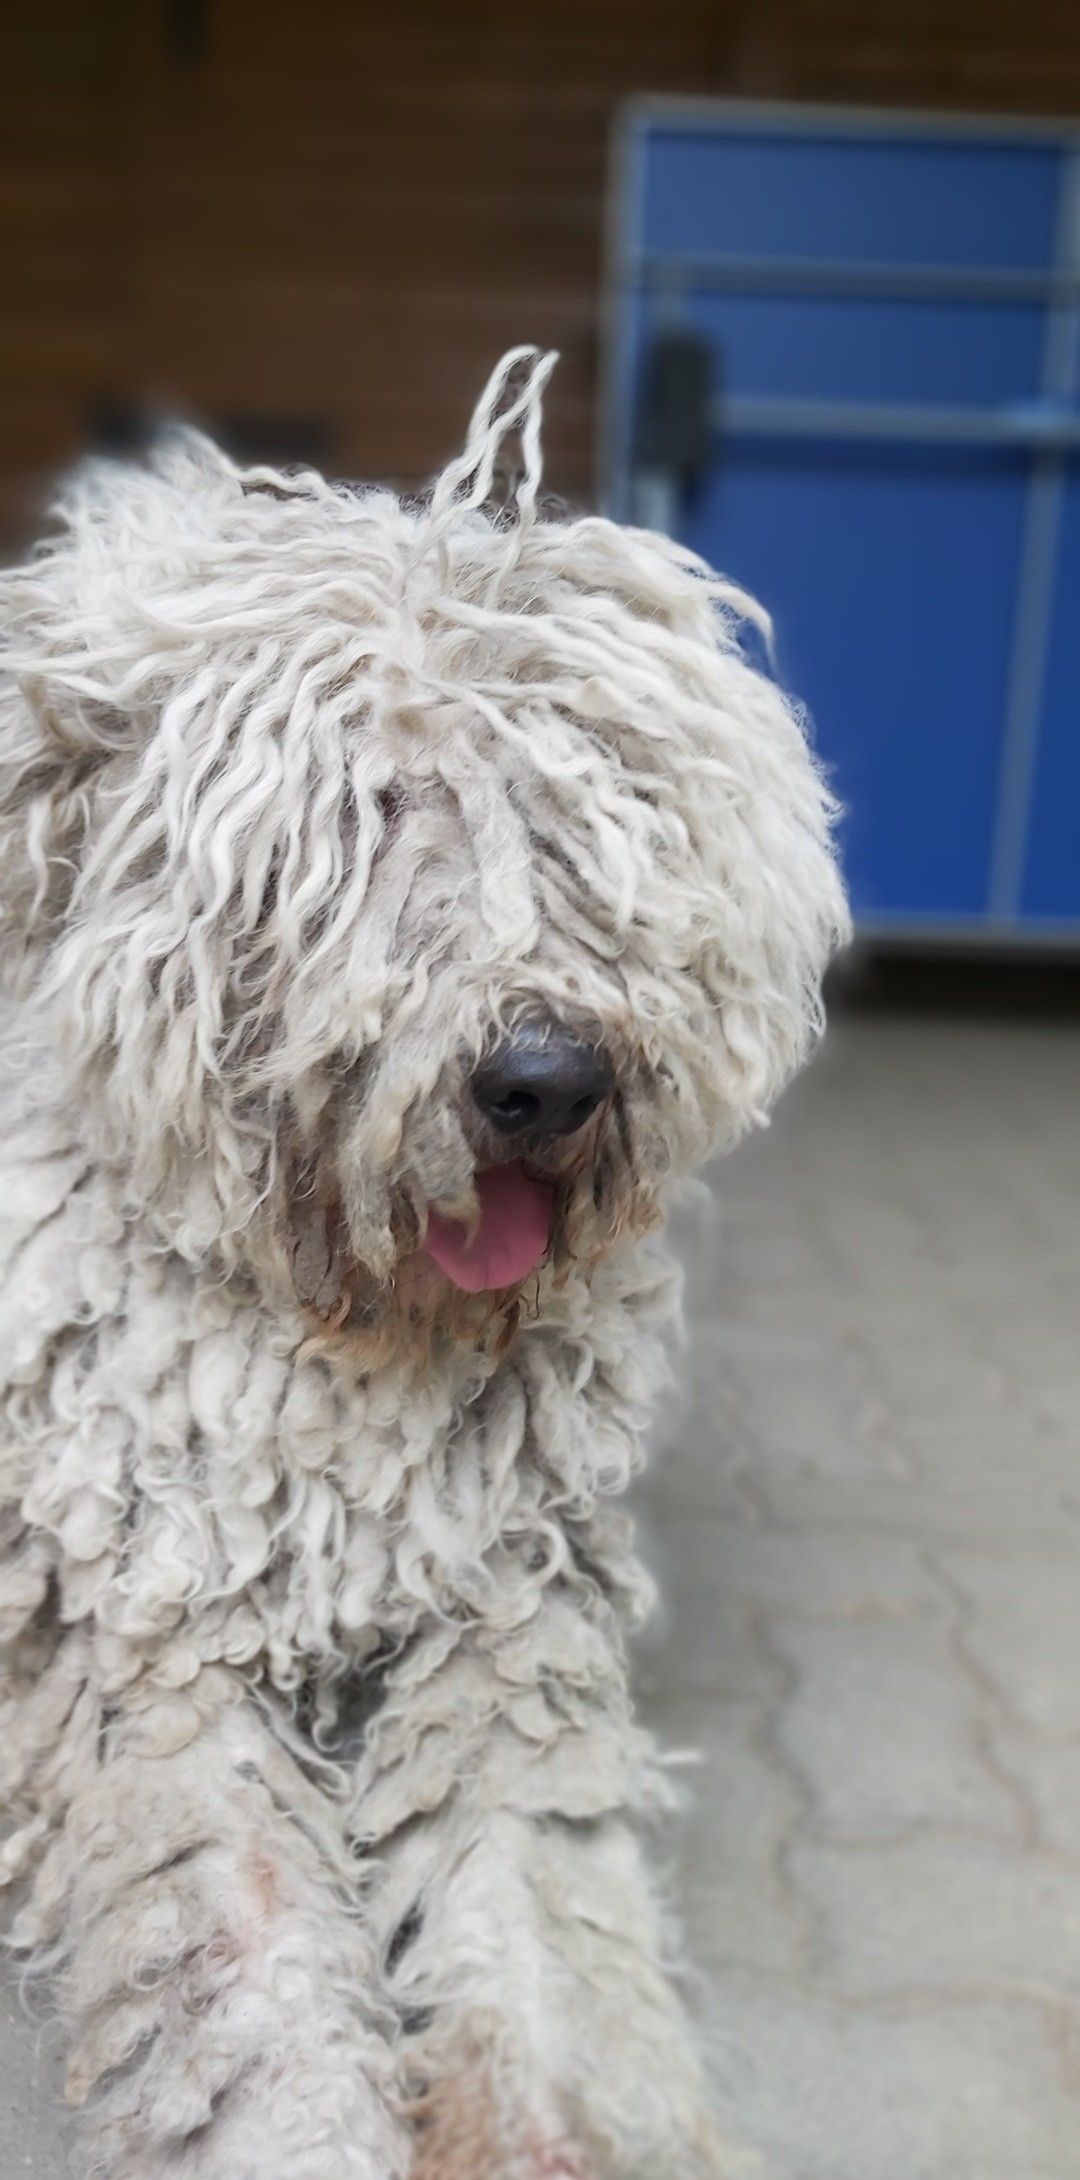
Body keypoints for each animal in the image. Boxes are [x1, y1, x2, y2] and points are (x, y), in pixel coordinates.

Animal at [0, 348, 846, 2171]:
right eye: (359, 821)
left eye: (593, 825)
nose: (545, 1078)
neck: (348, 1348)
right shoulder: (153, 1649)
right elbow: (248, 1957)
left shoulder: (499, 1617)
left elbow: (531, 1921)